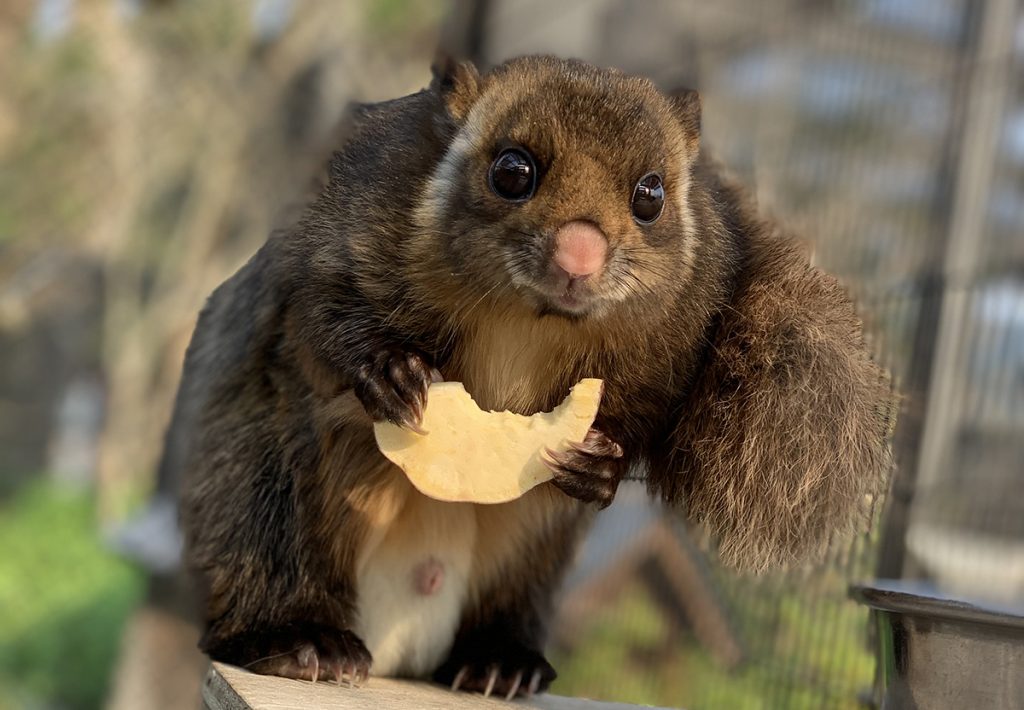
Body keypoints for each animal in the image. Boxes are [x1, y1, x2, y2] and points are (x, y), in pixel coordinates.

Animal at [172, 55, 892, 696]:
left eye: (652, 195)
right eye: (512, 170)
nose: (580, 256)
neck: (528, 318)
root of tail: (400, 644)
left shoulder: (682, 328)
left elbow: (651, 409)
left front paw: (603, 465)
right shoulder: (345, 215)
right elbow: (320, 310)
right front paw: (385, 367)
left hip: (526, 554)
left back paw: (498, 660)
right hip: (264, 492)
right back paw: (299, 640)